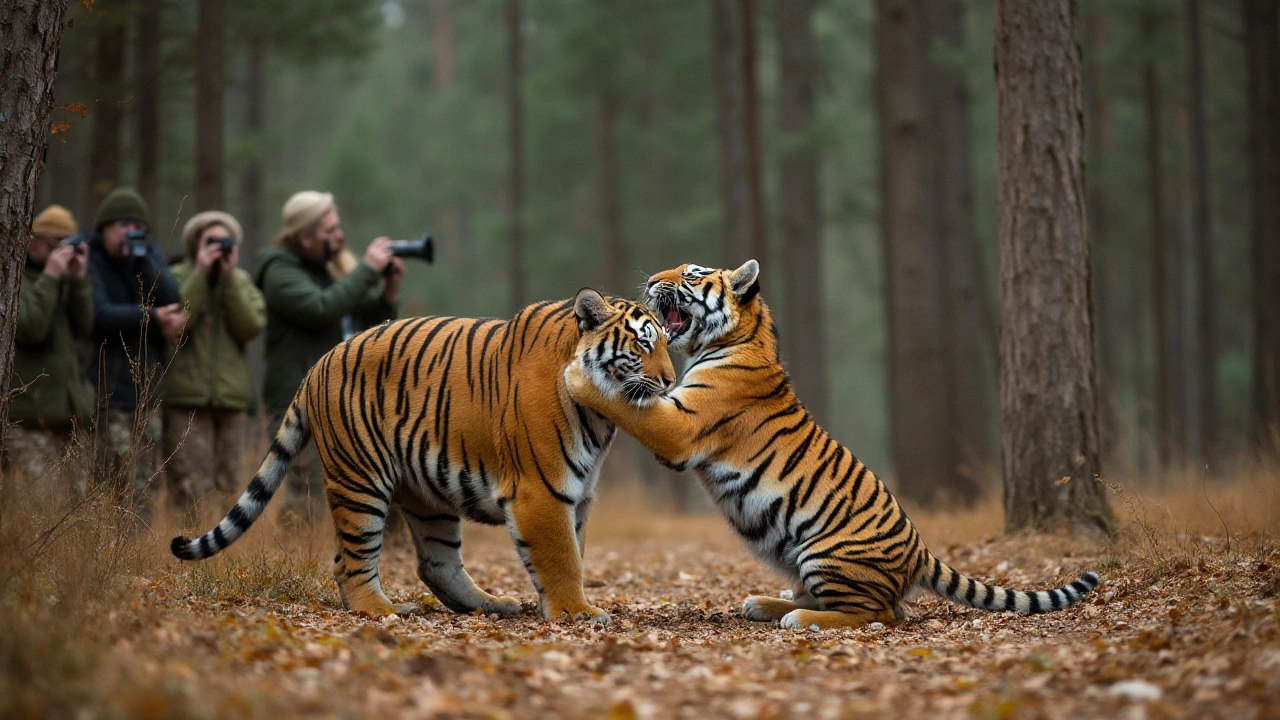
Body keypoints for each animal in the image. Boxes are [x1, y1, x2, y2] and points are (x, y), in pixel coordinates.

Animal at [174, 288, 675, 620]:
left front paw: (560, 605)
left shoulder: (579, 494)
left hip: (429, 494)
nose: (671, 381)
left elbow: (575, 550)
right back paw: (381, 611)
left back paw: (492, 605)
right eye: (643, 343)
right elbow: (562, 556)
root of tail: (318, 363)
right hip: (360, 479)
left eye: (667, 342)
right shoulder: (542, 490)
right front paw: (577, 611)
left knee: (436, 564)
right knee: (349, 562)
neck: (600, 417)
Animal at [563, 262, 1100, 627]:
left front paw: (577, 378)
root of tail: (921, 550)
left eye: (692, 275)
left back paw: (798, 618)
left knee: (881, 612)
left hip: (825, 552)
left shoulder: (680, 427)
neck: (740, 339)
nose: (652, 278)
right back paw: (766, 602)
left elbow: (627, 404)